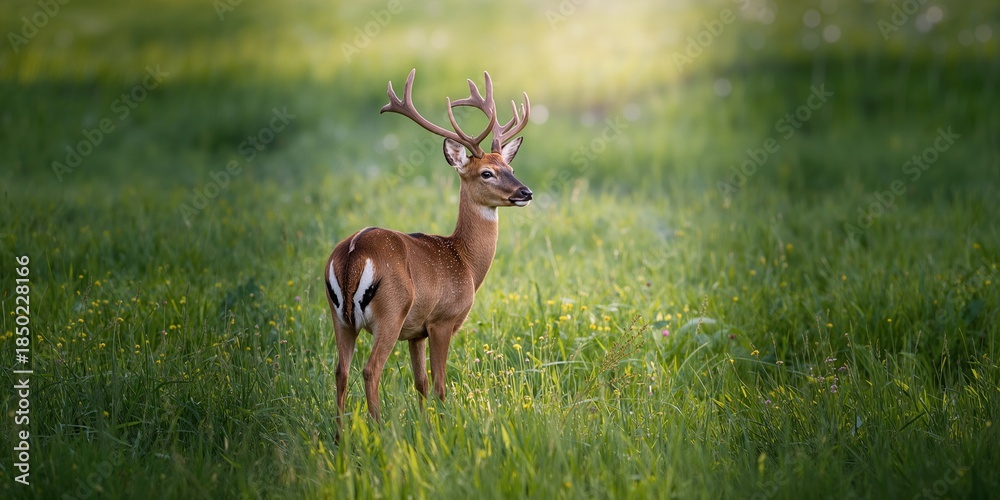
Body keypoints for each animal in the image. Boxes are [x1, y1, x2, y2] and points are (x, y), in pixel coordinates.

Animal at [324, 69, 532, 423]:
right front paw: (444, 425)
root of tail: (353, 251)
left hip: (340, 318)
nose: (525, 192)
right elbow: (439, 385)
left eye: (511, 168)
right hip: (391, 311)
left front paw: (424, 424)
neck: (464, 260)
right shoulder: (442, 319)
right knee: (370, 370)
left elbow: (420, 382)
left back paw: (341, 434)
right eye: (486, 173)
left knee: (341, 371)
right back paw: (379, 428)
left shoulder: (416, 330)